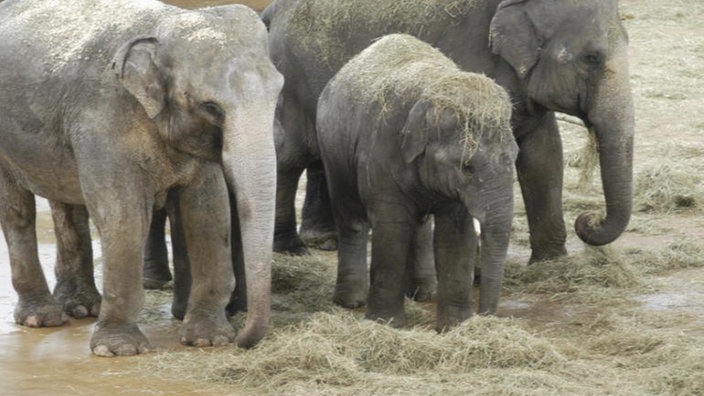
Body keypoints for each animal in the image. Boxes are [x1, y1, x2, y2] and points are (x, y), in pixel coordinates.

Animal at [0, 0, 280, 358]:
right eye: (211, 107)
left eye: (278, 93)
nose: (243, 340)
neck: (164, 26)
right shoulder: (103, 120)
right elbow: (125, 214)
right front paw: (118, 349)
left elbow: (208, 212)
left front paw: (209, 339)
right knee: (17, 210)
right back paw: (42, 318)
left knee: (65, 200)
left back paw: (81, 308)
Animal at [262, 0, 632, 272]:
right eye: (591, 58)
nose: (588, 219)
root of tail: (272, 12)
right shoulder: (469, 61)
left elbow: (544, 157)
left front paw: (551, 265)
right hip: (294, 77)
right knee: (291, 154)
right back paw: (292, 249)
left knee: (324, 155)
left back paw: (327, 240)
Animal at [318, 34, 516, 332]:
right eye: (466, 167)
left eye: (515, 156)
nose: (486, 316)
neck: (433, 87)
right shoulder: (381, 151)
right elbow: (392, 227)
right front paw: (387, 324)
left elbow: (456, 235)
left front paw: (454, 327)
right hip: (334, 154)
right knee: (351, 218)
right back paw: (351, 301)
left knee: (420, 226)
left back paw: (424, 294)